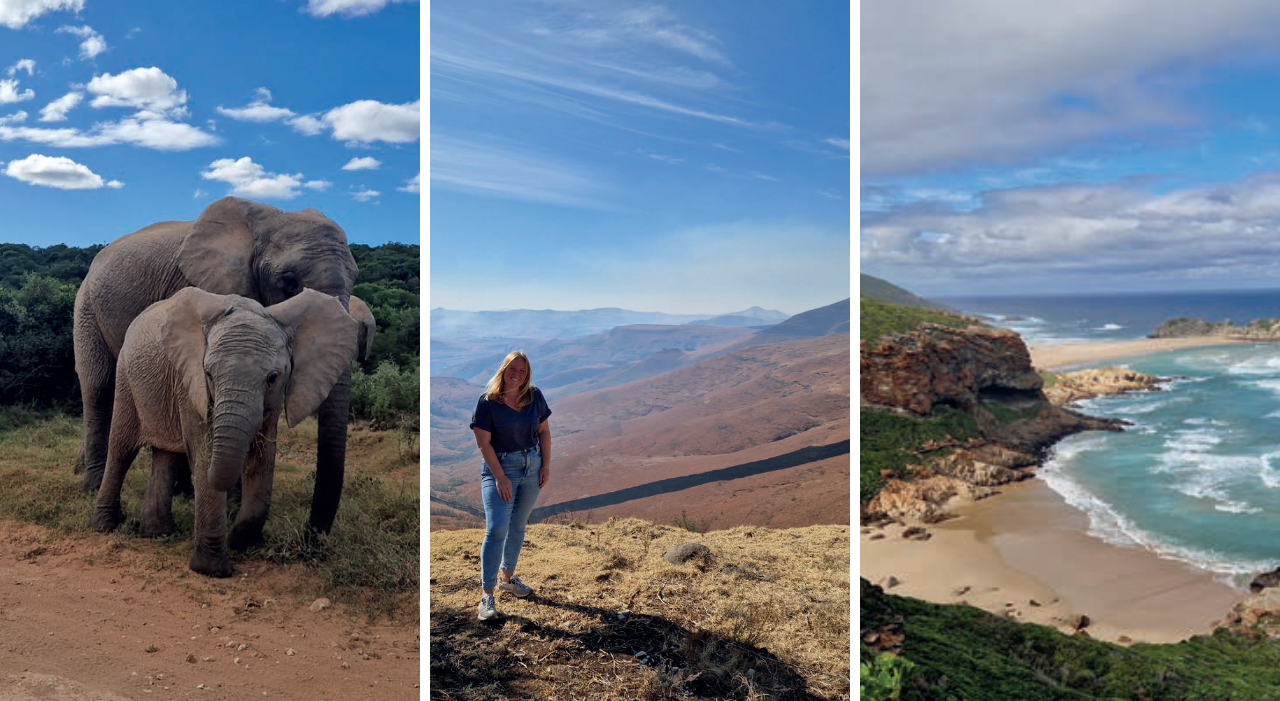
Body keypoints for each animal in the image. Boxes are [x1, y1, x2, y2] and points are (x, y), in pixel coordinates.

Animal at [73, 194, 360, 534]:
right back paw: (92, 484)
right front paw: (227, 506)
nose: (310, 536)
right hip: (86, 307)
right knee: (98, 387)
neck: (267, 217)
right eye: (289, 282)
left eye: (356, 277)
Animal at [92, 285, 358, 575]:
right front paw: (212, 570)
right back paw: (104, 528)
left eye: (273, 378)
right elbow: (204, 455)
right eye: (209, 374)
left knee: (167, 457)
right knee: (122, 449)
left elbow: (262, 460)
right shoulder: (190, 382)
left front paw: (240, 542)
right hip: (126, 377)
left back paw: (159, 533)